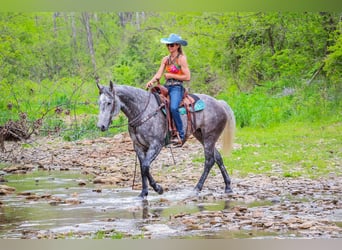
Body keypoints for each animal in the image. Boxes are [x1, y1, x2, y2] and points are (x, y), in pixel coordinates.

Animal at [96, 81, 235, 198]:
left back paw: (197, 188)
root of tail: (219, 103)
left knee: (209, 161)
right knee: (218, 157)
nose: (100, 126)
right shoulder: (138, 147)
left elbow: (145, 166)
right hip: (201, 136)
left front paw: (158, 188)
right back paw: (228, 186)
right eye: (99, 103)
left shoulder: (156, 145)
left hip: (209, 137)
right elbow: (142, 168)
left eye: (109, 102)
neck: (142, 111)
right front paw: (143, 193)